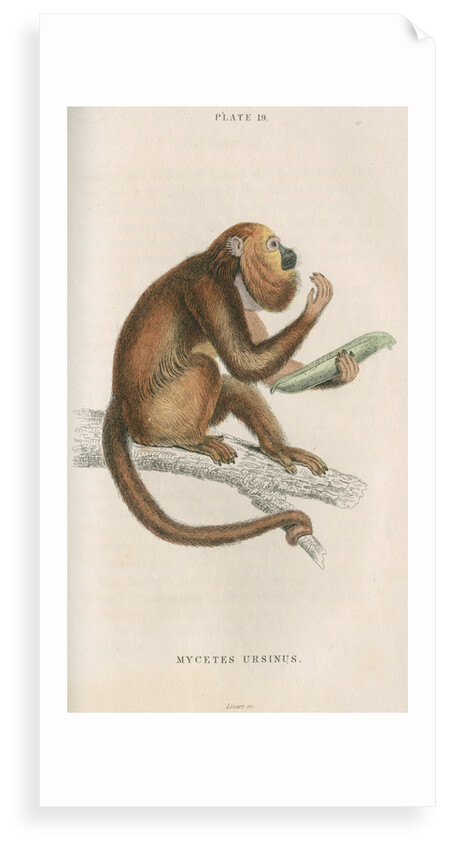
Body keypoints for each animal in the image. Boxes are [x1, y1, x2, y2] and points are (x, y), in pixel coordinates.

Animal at [102, 222, 358, 548]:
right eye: (274, 245)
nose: (290, 252)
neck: (227, 269)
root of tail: (119, 398)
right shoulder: (211, 290)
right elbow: (245, 363)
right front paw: (314, 307)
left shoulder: (241, 300)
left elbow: (265, 374)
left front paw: (345, 370)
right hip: (154, 412)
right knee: (206, 368)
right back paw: (187, 440)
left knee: (233, 387)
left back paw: (276, 448)